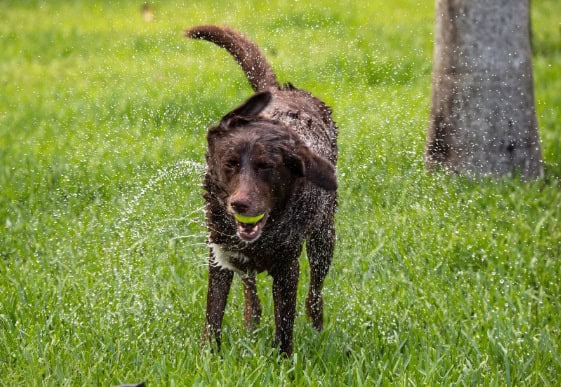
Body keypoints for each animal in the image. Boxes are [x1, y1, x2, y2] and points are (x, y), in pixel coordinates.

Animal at [187, 25, 336, 358]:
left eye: (266, 167)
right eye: (229, 164)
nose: (240, 204)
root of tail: (280, 89)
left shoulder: (287, 266)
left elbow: (285, 323)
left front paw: (283, 361)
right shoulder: (221, 256)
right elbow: (213, 315)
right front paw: (207, 357)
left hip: (324, 238)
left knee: (314, 294)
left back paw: (317, 329)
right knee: (251, 297)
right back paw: (251, 327)